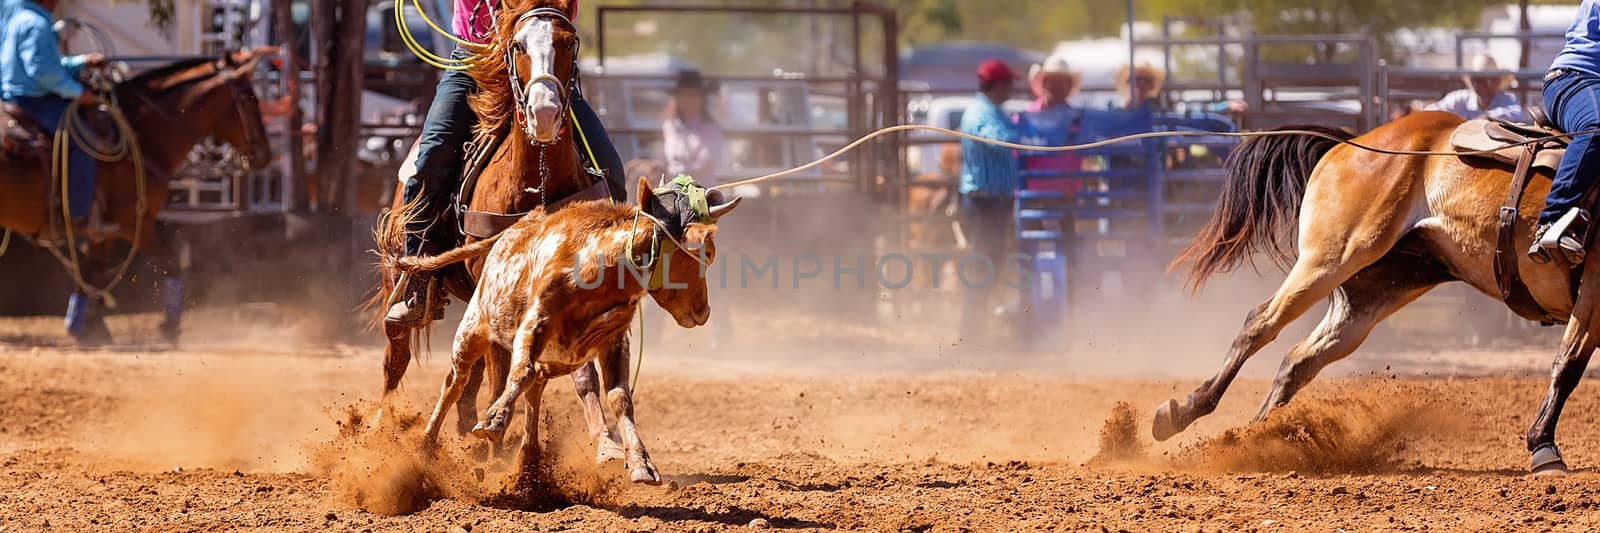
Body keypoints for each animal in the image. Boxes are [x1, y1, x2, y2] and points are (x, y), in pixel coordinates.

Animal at [0, 48, 273, 340]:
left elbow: (91, 272)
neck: (142, 134)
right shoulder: (133, 222)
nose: (265, 155)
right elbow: (170, 262)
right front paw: (169, 328)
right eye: (249, 99)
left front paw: (88, 329)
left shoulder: (103, 231)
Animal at [372, 0, 662, 483]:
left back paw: (470, 434)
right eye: (518, 46)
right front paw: (496, 448)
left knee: (470, 374)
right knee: (398, 353)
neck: (534, 185)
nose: (544, 114)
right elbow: (500, 370)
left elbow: (579, 374)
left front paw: (606, 445)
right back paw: (382, 427)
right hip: (404, 275)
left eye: (568, 42)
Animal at [1145, 108, 1600, 473]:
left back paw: (1250, 440)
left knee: (1299, 360)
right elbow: (1567, 366)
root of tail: (1348, 143)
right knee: (1260, 324)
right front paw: (1543, 449)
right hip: (1331, 258)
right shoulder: (1593, 294)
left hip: (1370, 294)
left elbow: (1570, 365)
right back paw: (1184, 414)